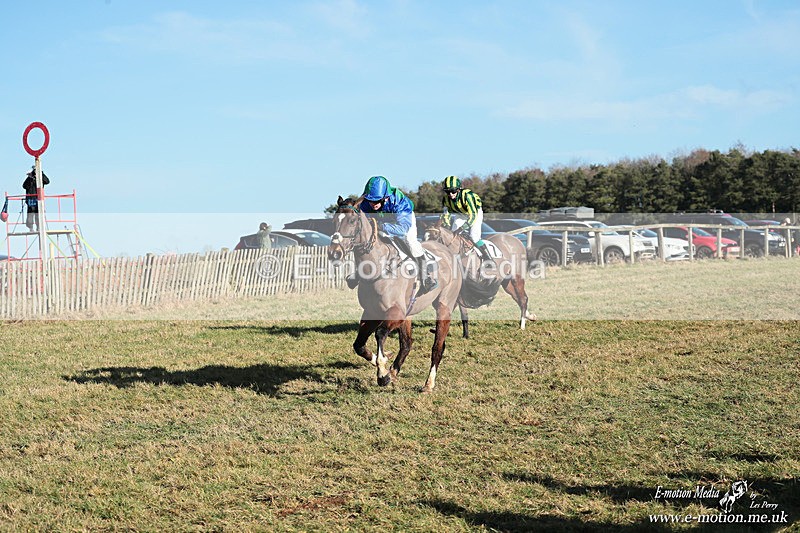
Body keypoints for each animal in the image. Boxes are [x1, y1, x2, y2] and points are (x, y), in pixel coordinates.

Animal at [327, 196, 463, 393]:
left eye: (352, 221)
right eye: (333, 221)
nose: (334, 253)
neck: (378, 267)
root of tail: (448, 251)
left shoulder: (395, 312)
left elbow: (380, 333)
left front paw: (382, 370)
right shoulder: (371, 312)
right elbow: (359, 345)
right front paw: (382, 365)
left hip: (444, 307)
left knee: (437, 346)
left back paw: (428, 384)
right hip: (409, 312)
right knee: (407, 343)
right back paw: (393, 372)